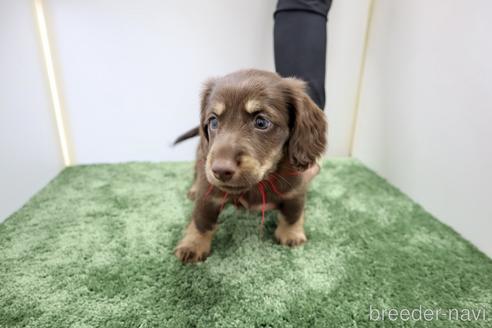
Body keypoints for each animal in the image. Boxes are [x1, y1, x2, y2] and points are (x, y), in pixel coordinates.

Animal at [173, 70, 326, 264]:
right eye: (213, 121)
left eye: (261, 122)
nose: (220, 170)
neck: (260, 182)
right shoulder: (209, 193)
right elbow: (202, 220)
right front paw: (193, 244)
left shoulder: (295, 190)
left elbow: (293, 214)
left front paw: (291, 234)